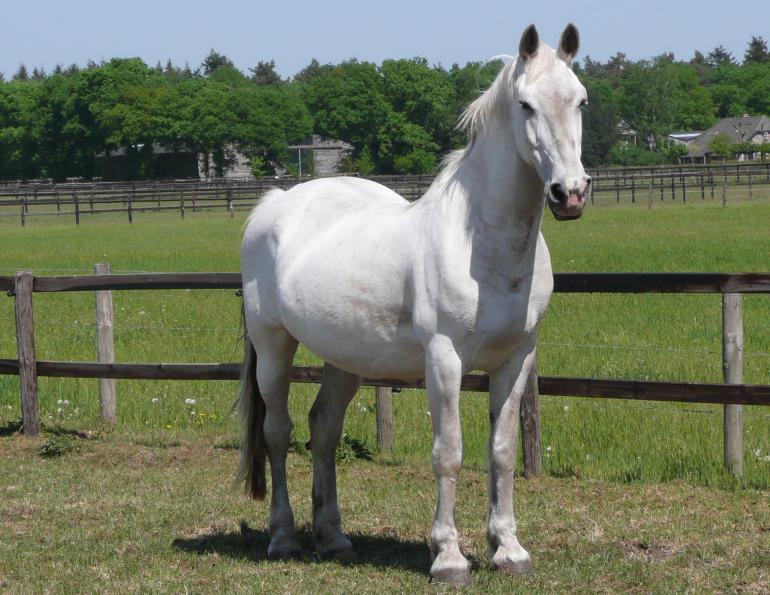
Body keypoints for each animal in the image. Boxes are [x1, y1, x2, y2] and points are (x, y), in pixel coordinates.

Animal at [237, 23, 590, 586]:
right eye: (526, 105)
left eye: (580, 100)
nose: (570, 193)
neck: (481, 244)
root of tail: (274, 204)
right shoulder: (443, 360)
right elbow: (449, 453)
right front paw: (448, 557)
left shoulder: (517, 359)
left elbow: (502, 451)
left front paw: (509, 550)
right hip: (273, 346)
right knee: (277, 432)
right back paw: (283, 537)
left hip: (345, 358)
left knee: (323, 430)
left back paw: (333, 538)